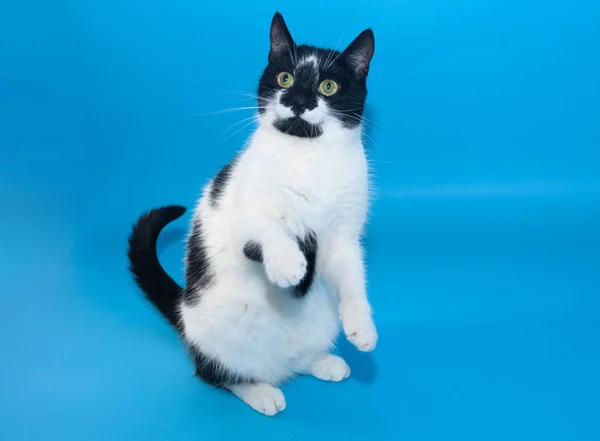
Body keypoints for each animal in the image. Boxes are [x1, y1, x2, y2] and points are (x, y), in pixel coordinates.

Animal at [128, 11, 378, 416]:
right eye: (285, 78)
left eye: (328, 86)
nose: (298, 101)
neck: (306, 155)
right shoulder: (242, 211)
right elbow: (266, 225)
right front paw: (289, 265)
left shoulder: (344, 234)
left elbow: (352, 275)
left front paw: (362, 327)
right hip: (216, 338)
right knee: (214, 373)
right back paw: (260, 392)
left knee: (295, 360)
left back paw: (321, 362)